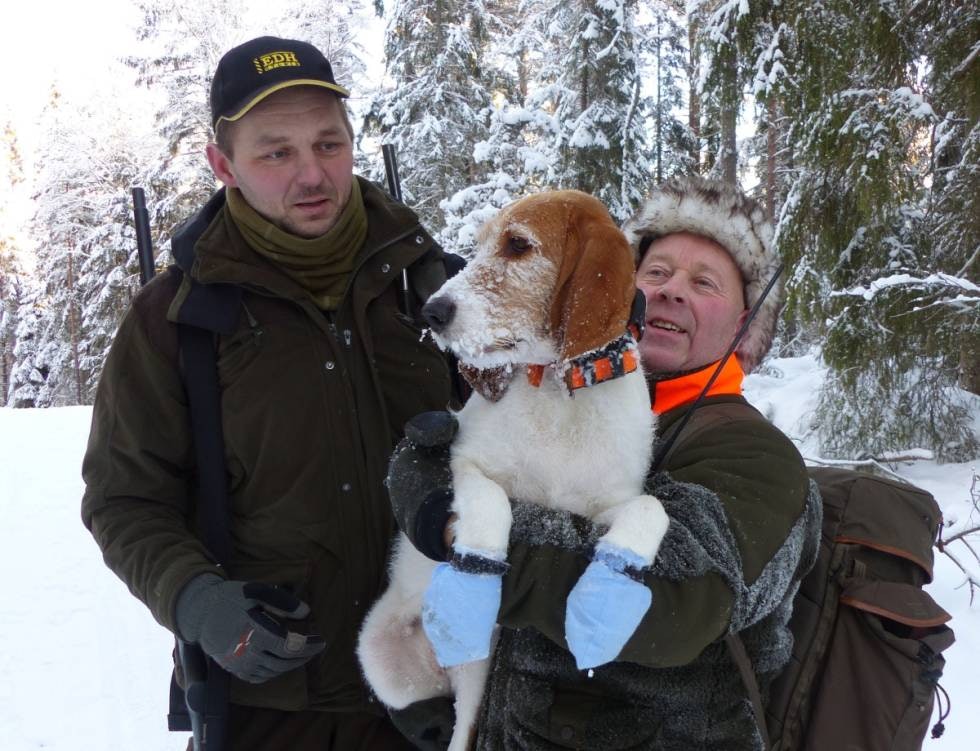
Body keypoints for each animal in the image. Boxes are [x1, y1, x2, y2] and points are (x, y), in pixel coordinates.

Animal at [356, 191, 668, 748]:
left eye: (518, 245)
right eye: (477, 246)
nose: (432, 311)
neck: (558, 391)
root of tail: (444, 672)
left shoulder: (607, 504)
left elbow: (651, 511)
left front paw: (604, 606)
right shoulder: (458, 462)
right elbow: (491, 503)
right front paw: (470, 591)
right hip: (386, 661)